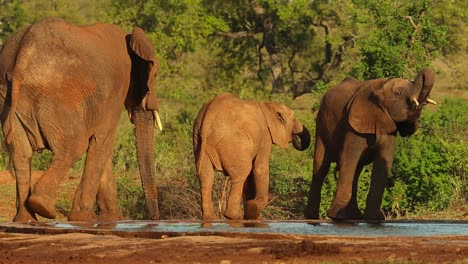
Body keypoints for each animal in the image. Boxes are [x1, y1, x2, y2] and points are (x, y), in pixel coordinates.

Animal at [0, 17, 162, 222]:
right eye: (154, 75)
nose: (155, 218)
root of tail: (23, 54)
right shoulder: (116, 89)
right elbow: (102, 141)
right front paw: (83, 218)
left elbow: (101, 146)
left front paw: (111, 219)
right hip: (57, 96)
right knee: (75, 145)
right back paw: (44, 207)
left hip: (8, 96)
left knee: (20, 153)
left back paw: (25, 219)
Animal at [193, 92, 310, 220]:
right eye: (293, 119)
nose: (295, 137)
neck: (267, 106)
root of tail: (208, 120)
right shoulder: (265, 136)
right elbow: (260, 168)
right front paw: (253, 211)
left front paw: (249, 215)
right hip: (232, 142)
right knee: (241, 173)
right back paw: (234, 216)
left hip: (199, 141)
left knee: (206, 176)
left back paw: (210, 218)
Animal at [306, 68, 436, 221]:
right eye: (398, 93)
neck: (381, 87)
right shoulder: (353, 125)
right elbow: (348, 159)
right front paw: (336, 216)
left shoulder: (388, 126)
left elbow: (384, 163)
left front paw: (375, 218)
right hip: (321, 124)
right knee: (321, 167)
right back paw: (312, 216)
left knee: (356, 172)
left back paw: (354, 216)